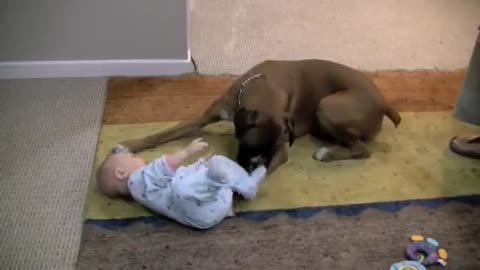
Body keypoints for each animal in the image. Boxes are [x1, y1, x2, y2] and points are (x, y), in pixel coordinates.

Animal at [112, 59, 402, 173]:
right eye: (248, 144)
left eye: (273, 150)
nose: (254, 163)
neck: (264, 88)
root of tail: (384, 102)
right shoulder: (204, 118)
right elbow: (164, 133)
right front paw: (129, 145)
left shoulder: (282, 151)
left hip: (327, 105)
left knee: (362, 149)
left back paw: (327, 153)